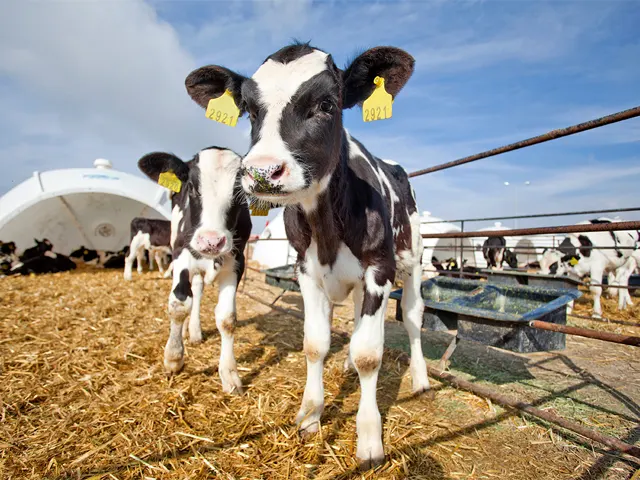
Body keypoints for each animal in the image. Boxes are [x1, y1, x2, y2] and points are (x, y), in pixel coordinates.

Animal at [137, 146, 250, 394]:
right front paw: (173, 358)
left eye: (240, 192)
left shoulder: (237, 261)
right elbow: (179, 304)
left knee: (197, 290)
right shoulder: (181, 253)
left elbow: (227, 318)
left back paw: (195, 331)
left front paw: (229, 374)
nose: (211, 241)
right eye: (191, 186)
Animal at [185, 42, 430, 468]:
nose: (262, 171)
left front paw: (369, 440)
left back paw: (419, 378)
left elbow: (370, 354)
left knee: (414, 318)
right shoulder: (307, 270)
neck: (328, 225)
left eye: (327, 104)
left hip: (412, 260)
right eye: (250, 110)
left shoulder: (378, 269)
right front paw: (310, 416)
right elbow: (316, 344)